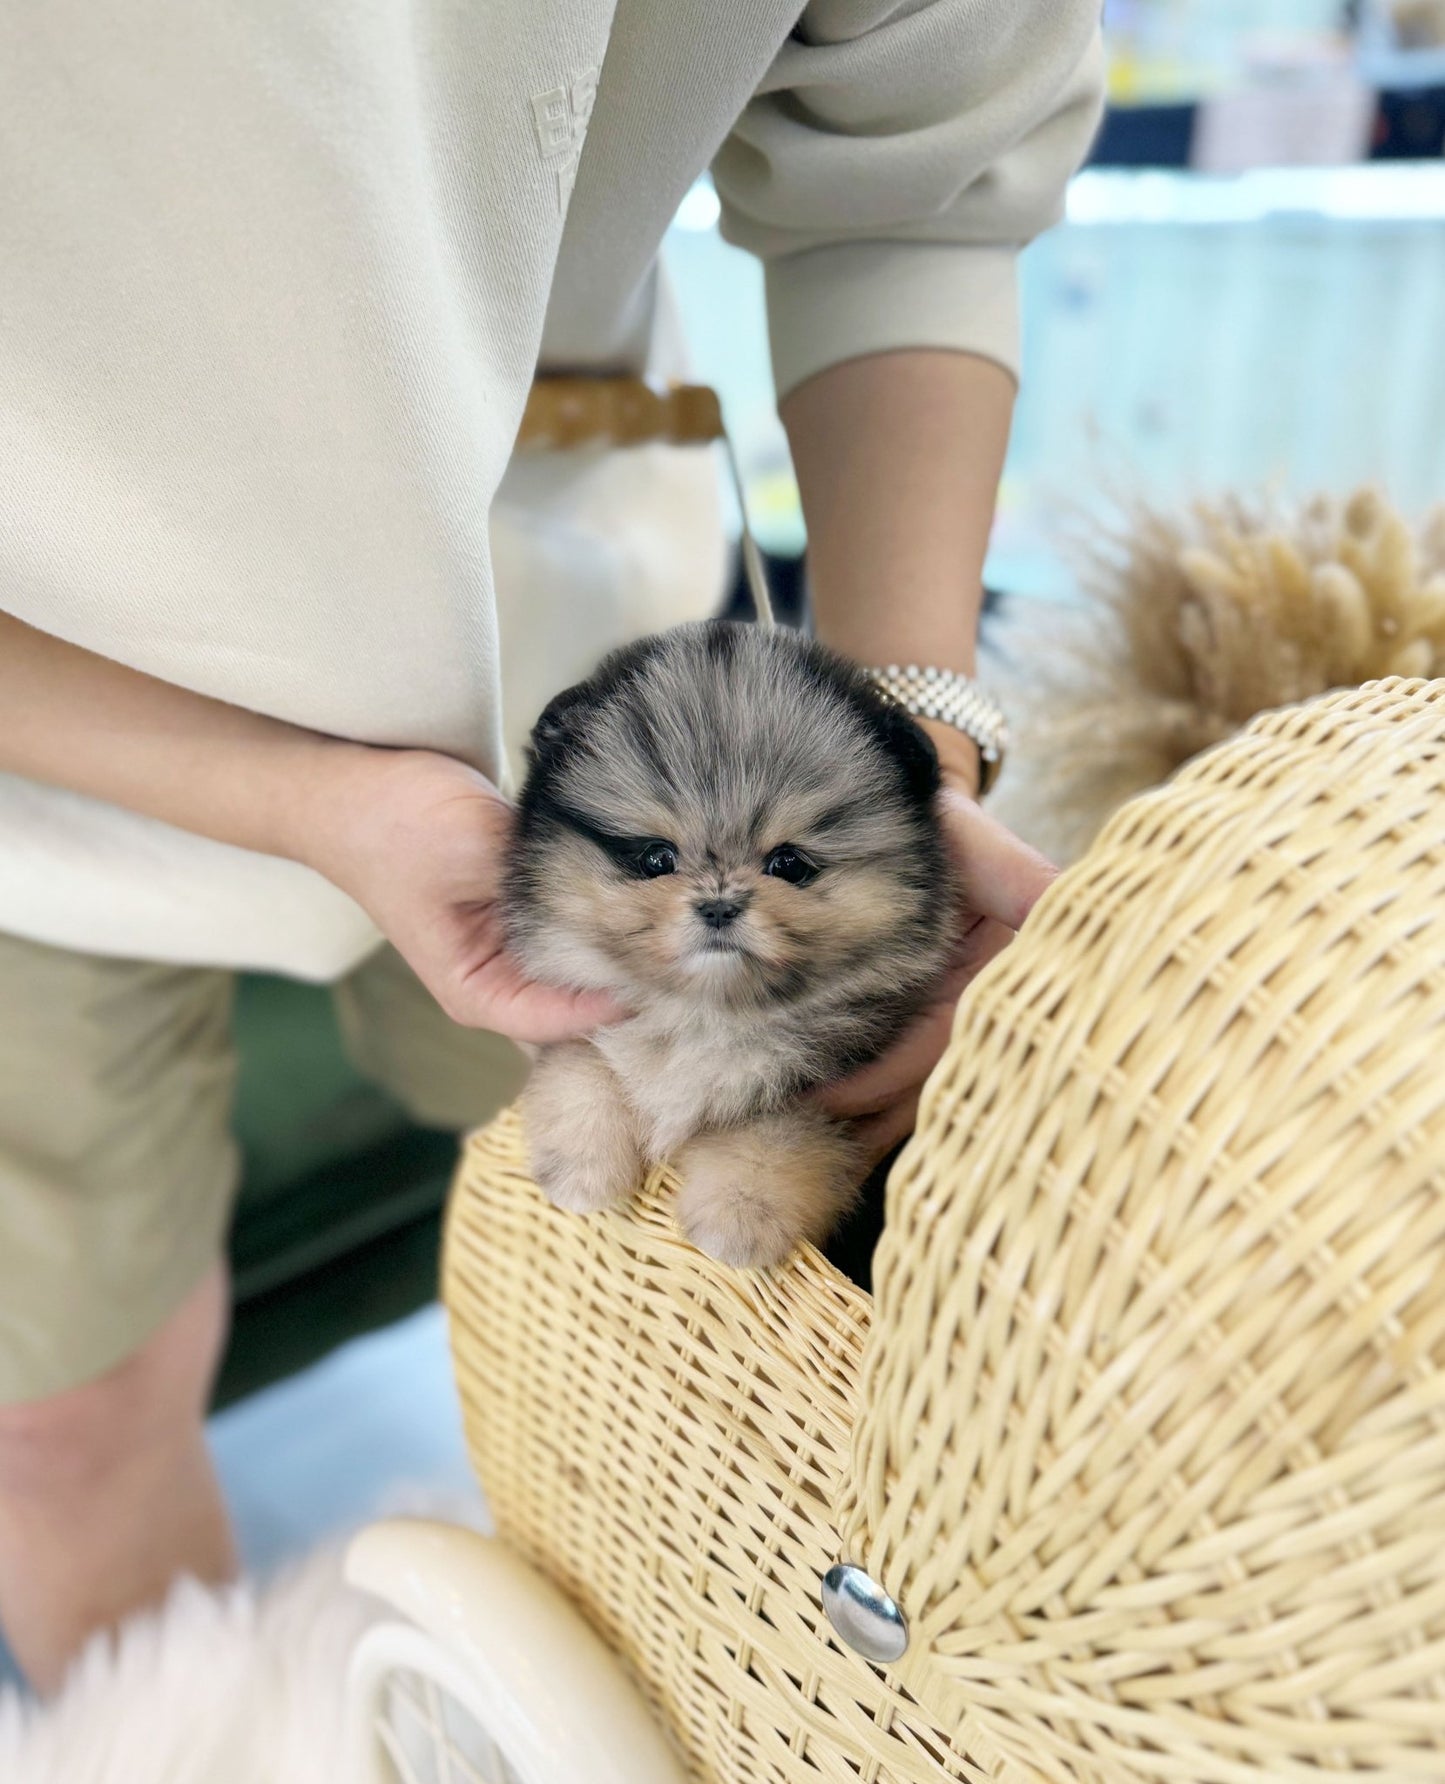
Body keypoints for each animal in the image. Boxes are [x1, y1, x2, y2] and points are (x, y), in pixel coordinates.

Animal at [499, 624, 949, 1270]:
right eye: (656, 858)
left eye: (788, 863)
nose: (718, 904)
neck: (706, 1013)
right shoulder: (581, 1005)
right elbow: (584, 1062)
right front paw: (581, 1170)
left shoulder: (830, 1089)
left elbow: (779, 1132)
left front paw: (739, 1216)